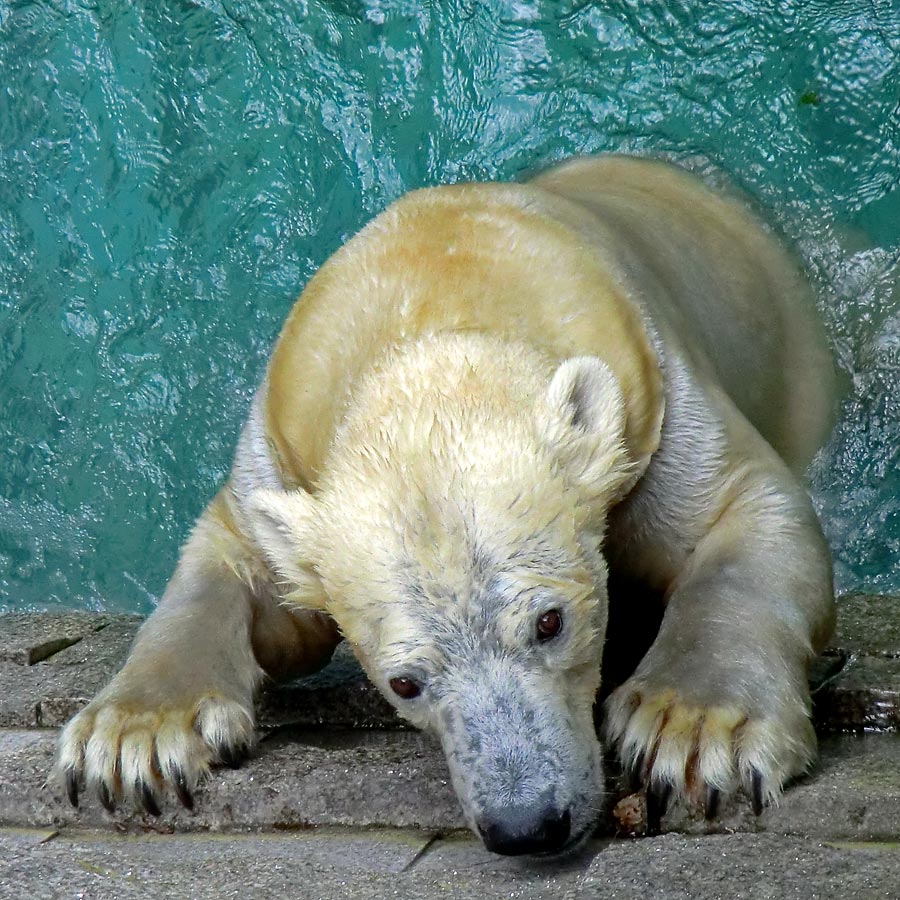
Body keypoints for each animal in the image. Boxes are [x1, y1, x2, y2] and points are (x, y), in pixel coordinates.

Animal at [52, 156, 832, 856]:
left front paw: (695, 727)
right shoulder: (280, 448)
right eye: (404, 682)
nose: (527, 826)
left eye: (550, 622)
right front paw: (136, 739)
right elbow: (243, 565)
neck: (437, 290)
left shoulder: (655, 395)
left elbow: (738, 508)